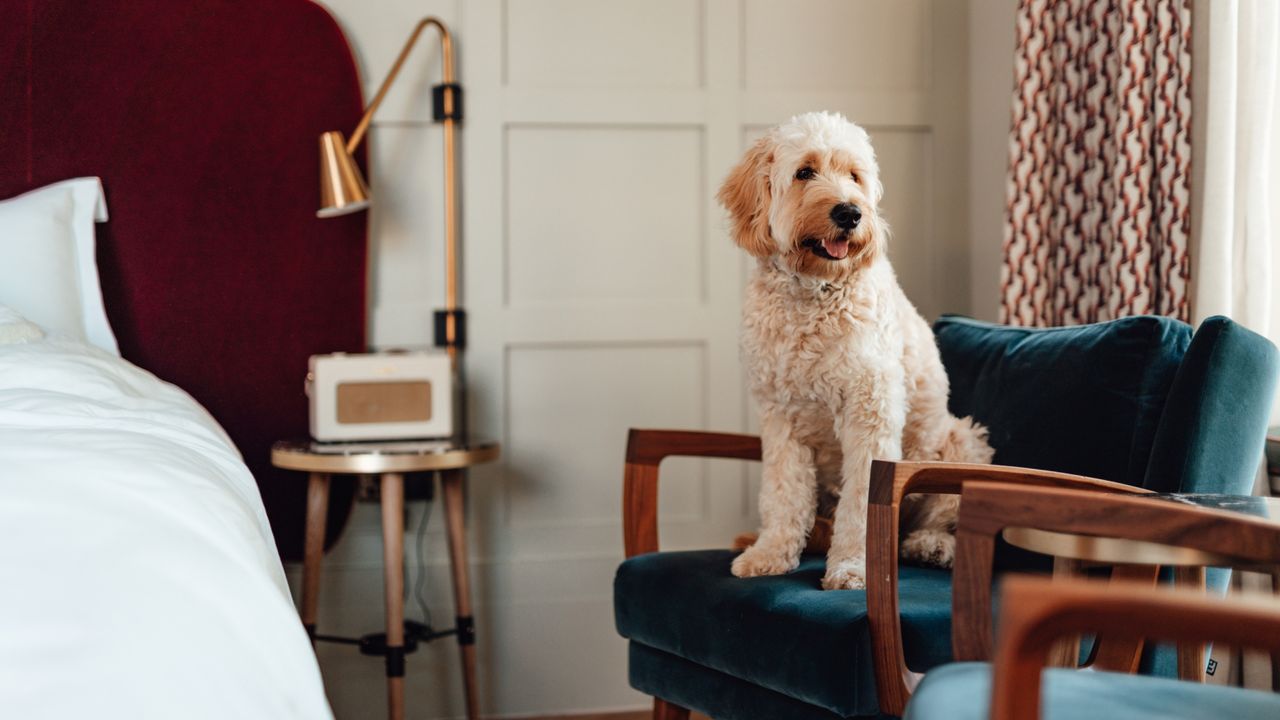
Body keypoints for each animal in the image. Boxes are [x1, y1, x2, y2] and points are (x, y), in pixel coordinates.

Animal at [716, 109, 993, 586]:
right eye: (804, 172)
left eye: (854, 175)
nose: (849, 212)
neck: (814, 292)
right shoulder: (780, 418)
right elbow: (783, 493)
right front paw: (770, 553)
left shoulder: (870, 412)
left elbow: (862, 502)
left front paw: (851, 567)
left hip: (961, 441)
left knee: (942, 519)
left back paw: (930, 545)